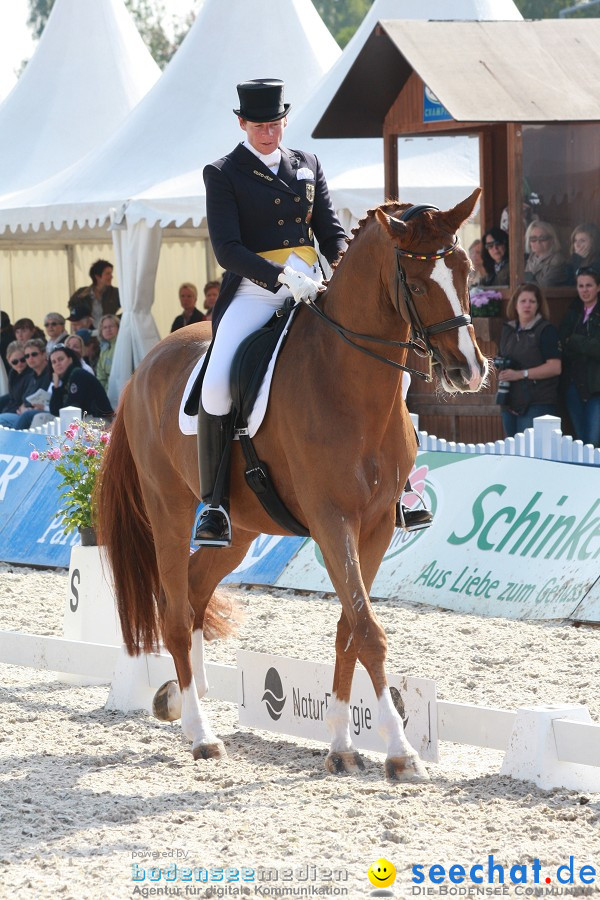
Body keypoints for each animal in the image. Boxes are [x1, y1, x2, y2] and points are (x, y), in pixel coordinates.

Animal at [95, 190, 488, 780]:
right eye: (417, 285)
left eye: (466, 272)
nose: (469, 371)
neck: (350, 384)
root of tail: (144, 370)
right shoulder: (331, 521)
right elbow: (368, 631)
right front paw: (400, 751)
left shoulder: (375, 527)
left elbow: (350, 630)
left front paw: (342, 745)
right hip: (169, 507)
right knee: (176, 610)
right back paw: (201, 734)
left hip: (238, 531)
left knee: (195, 591)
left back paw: (180, 699)